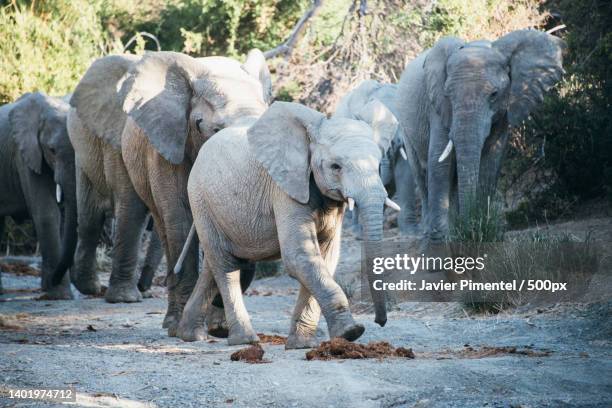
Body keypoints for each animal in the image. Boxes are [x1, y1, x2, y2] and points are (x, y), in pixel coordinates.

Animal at [176, 101, 402, 348]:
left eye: (378, 165)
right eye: (336, 167)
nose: (380, 321)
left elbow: (325, 257)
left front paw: (303, 345)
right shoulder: (284, 189)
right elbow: (299, 256)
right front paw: (351, 333)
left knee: (214, 264)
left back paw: (191, 335)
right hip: (200, 199)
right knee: (226, 266)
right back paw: (244, 340)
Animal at [396, 30, 564, 241]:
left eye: (494, 94)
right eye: (448, 95)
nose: (471, 228)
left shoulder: (504, 110)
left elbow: (491, 161)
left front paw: (482, 230)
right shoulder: (437, 107)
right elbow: (439, 161)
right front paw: (442, 236)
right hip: (405, 127)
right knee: (420, 172)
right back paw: (429, 231)